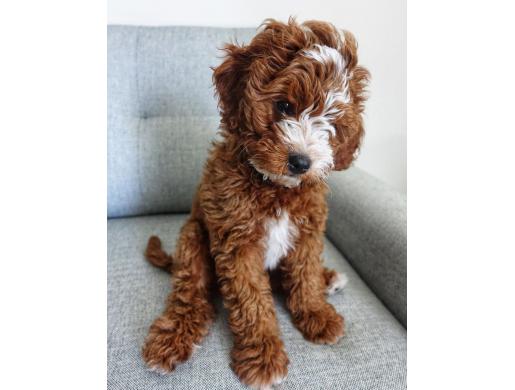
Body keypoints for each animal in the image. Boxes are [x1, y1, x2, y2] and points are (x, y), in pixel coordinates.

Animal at [143, 18, 368, 390]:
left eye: (332, 123)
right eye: (285, 106)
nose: (301, 162)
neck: (274, 186)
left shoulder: (308, 230)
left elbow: (304, 275)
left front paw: (316, 313)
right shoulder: (237, 243)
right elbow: (251, 302)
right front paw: (263, 356)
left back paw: (328, 278)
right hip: (192, 236)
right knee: (192, 295)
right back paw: (172, 337)